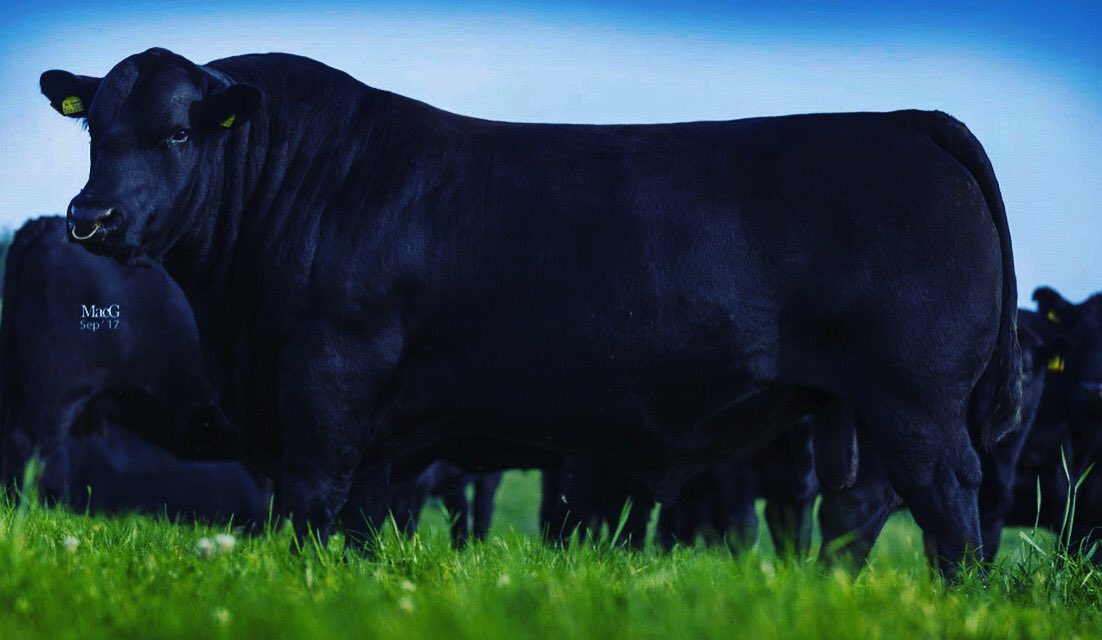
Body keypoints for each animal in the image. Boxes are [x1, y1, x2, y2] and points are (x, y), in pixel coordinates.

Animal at [42, 47, 1020, 577]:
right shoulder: (364, 431)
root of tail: (903, 117)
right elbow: (358, 524)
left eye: (177, 133)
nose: (91, 217)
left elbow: (313, 505)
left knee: (949, 504)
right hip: (856, 408)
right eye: (93, 129)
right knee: (860, 509)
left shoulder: (325, 384)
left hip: (916, 398)